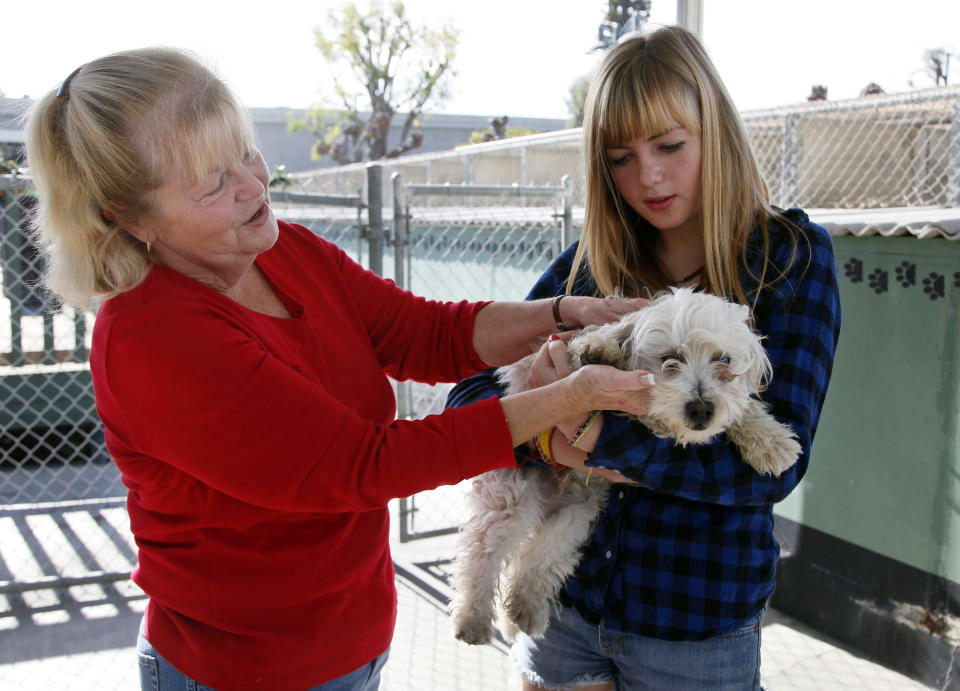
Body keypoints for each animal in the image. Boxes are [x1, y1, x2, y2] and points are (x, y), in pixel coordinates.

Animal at [450, 290, 804, 648]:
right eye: (671, 359)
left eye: (724, 360)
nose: (701, 410)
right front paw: (600, 350)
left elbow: (742, 408)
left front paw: (772, 441)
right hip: (513, 499)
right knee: (482, 556)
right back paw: (473, 619)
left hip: (573, 518)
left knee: (540, 560)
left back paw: (527, 610)